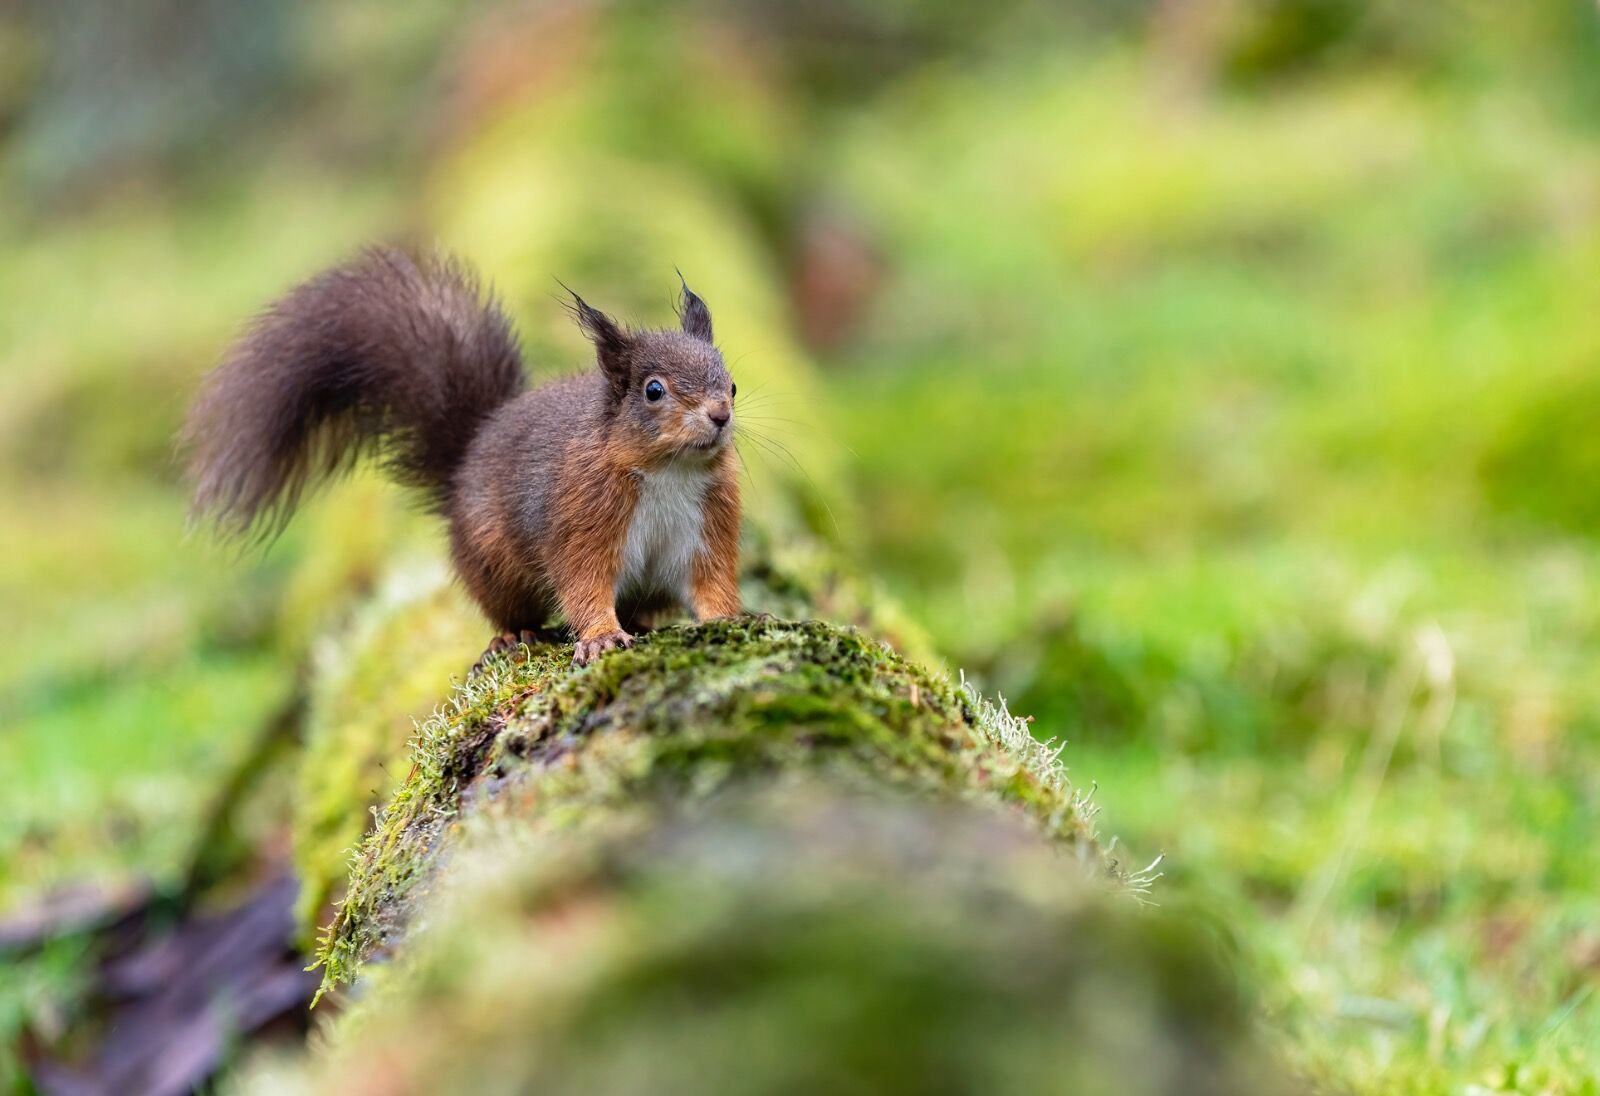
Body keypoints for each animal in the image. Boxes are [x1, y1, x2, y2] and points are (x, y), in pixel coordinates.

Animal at [182, 247, 742, 666]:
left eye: (732, 385)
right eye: (653, 390)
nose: (720, 414)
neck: (670, 470)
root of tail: (466, 458)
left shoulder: (708, 525)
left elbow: (712, 580)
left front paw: (730, 618)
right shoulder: (580, 519)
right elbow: (582, 583)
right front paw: (601, 636)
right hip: (492, 562)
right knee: (510, 611)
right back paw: (515, 636)